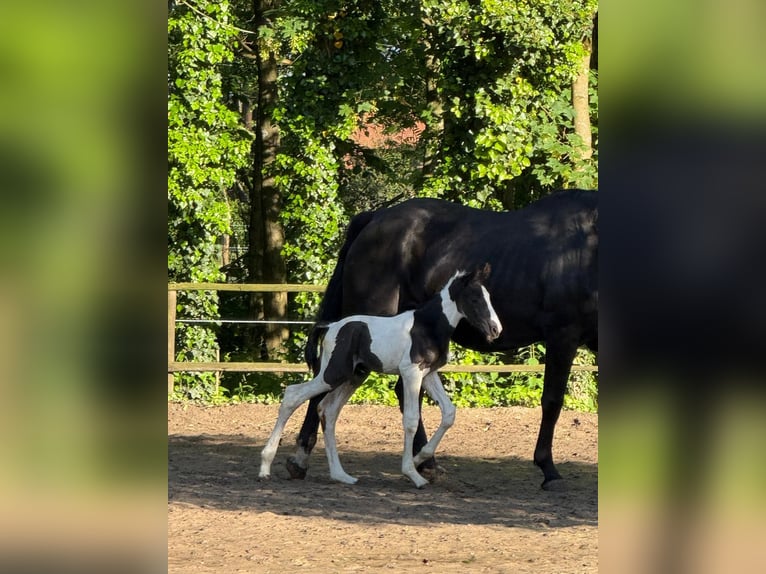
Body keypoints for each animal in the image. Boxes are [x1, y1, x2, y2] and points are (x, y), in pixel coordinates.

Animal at [259, 264, 502, 488]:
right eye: (475, 298)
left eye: (490, 298)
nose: (495, 329)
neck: (427, 326)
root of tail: (330, 326)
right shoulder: (411, 372)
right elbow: (411, 420)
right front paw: (413, 473)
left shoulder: (429, 374)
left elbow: (449, 413)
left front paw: (419, 459)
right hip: (333, 374)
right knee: (293, 395)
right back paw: (265, 468)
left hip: (354, 376)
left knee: (327, 410)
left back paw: (341, 475)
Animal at [289, 190, 598, 490]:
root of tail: (375, 218)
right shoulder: (562, 335)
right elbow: (553, 401)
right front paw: (549, 470)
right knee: (325, 382)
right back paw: (303, 457)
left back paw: (425, 464)